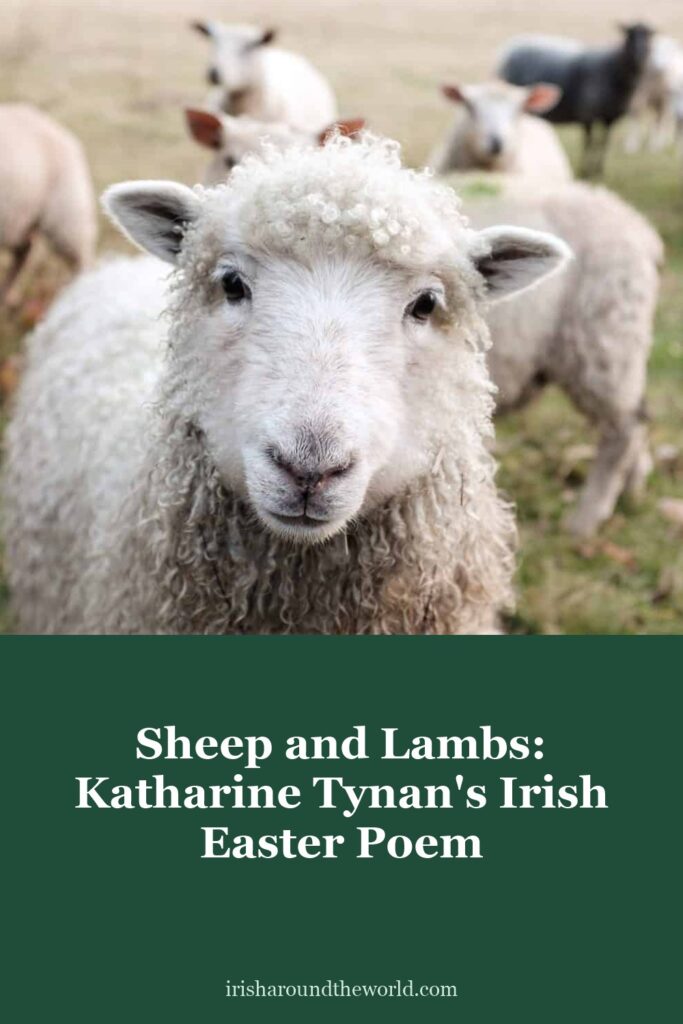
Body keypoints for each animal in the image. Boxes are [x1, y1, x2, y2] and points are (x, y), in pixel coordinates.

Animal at [449, 172, 662, 536]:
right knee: (638, 416)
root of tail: (640, 228)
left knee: (625, 429)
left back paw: (586, 519)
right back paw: (632, 488)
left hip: (601, 338)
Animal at [498, 23, 654, 177]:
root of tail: (510, 46)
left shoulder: (609, 118)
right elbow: (589, 142)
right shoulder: (587, 115)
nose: (640, 54)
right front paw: (585, 170)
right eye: (630, 35)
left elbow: (603, 142)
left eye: (649, 36)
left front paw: (598, 170)